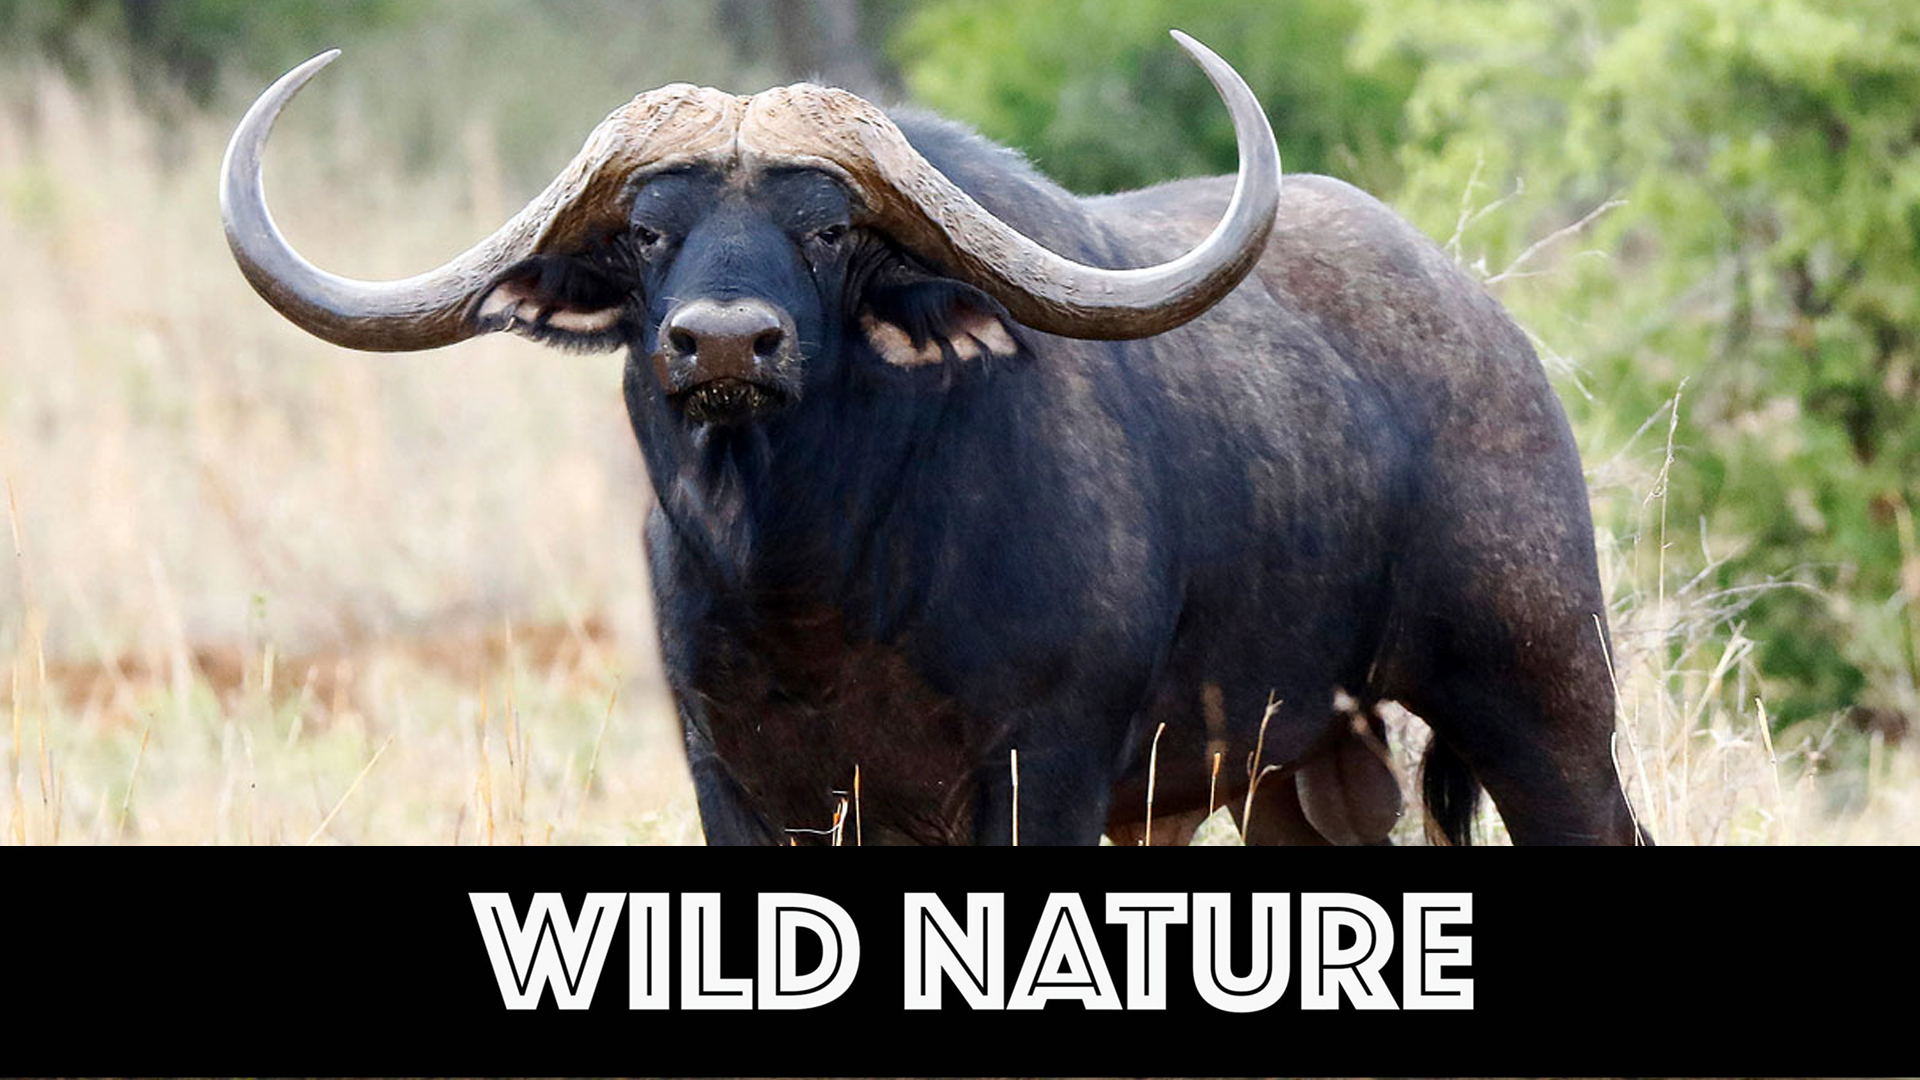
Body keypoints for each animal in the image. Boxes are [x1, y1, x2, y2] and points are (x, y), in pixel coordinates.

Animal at [221, 33, 1644, 845]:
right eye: (646, 230)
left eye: (829, 228)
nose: (723, 347)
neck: (818, 584)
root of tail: (1494, 334)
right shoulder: (743, 789)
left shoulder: (1042, 778)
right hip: (1293, 775)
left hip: (1544, 703)